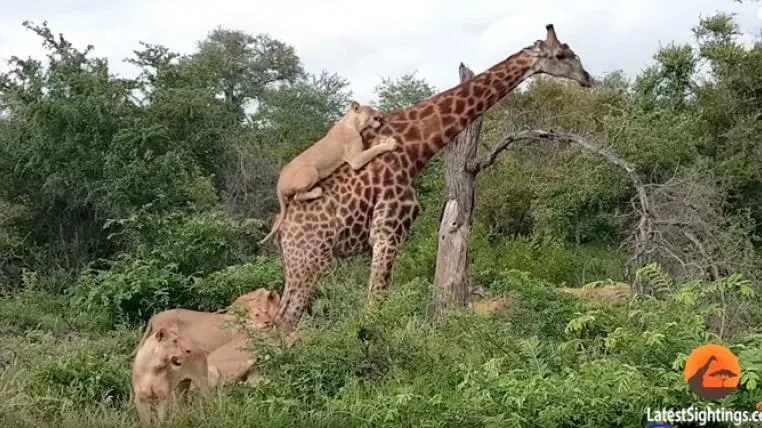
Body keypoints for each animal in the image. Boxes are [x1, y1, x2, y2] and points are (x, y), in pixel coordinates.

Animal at [270, 24, 592, 333]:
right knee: (285, 320)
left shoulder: (388, 235)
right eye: (561, 55)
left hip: (295, 263)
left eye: (572, 52)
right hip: (311, 259)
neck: (417, 147)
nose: (587, 77)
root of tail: (282, 228)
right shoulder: (387, 231)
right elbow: (374, 306)